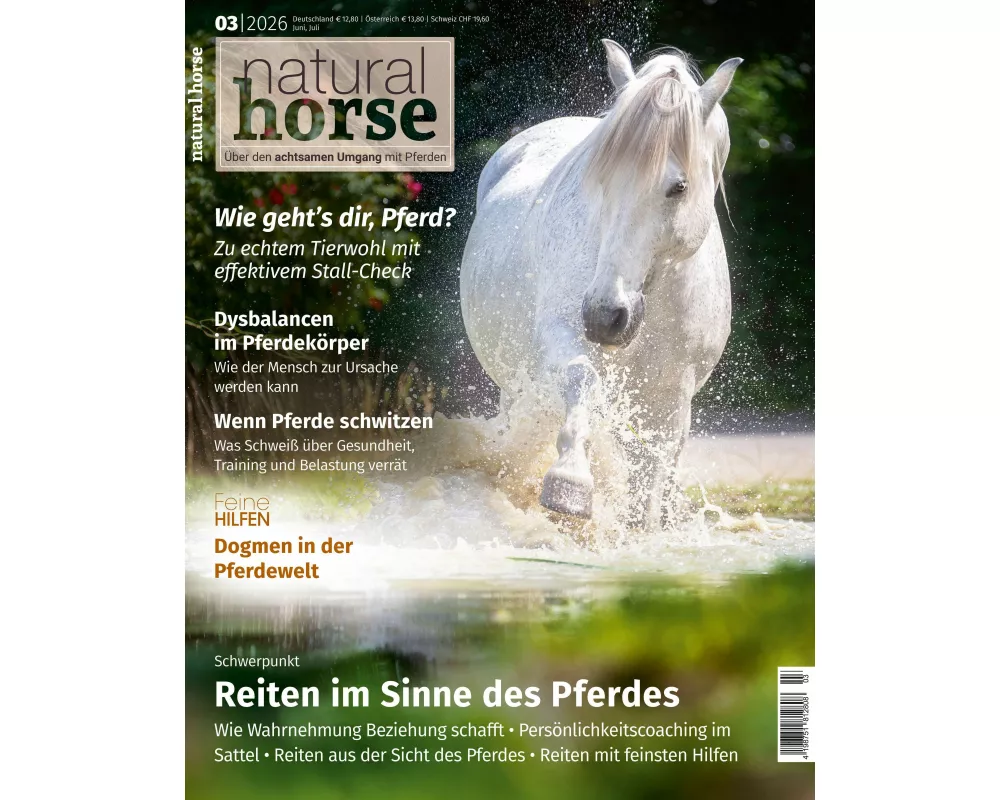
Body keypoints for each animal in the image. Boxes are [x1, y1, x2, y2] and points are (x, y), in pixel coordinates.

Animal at [459, 40, 741, 531]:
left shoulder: (670, 398)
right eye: (601, 180)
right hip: (514, 385)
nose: (606, 315)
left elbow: (650, 484)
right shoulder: (562, 336)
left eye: (679, 187)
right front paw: (569, 483)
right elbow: (581, 379)